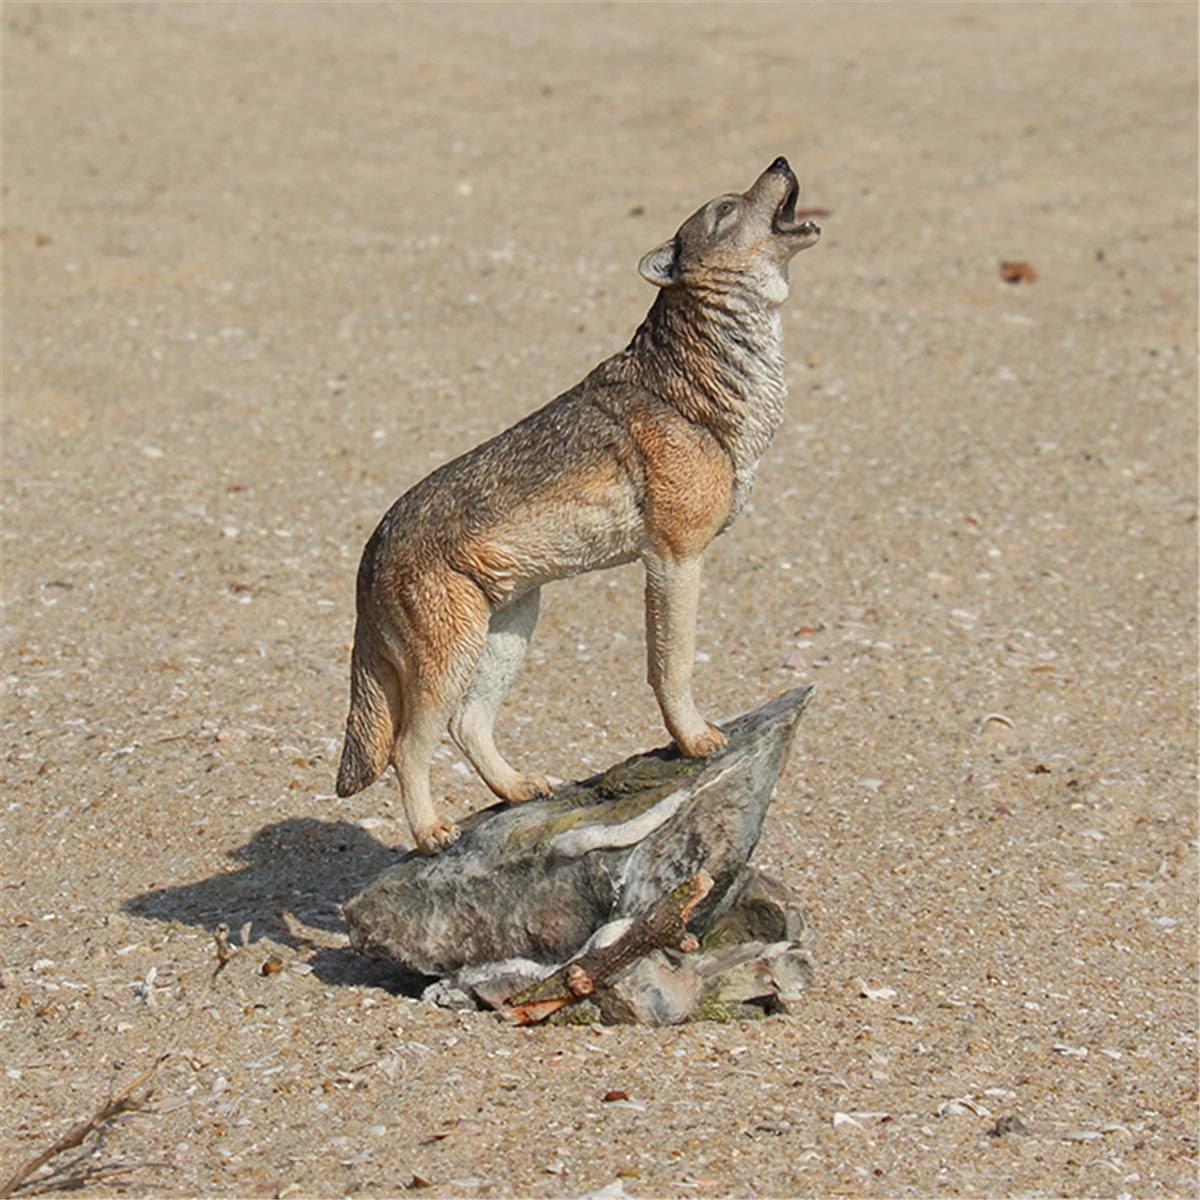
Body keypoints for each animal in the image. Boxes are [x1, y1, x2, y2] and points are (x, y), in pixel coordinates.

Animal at [335, 156, 820, 854]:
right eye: (725, 208)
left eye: (740, 195)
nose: (780, 161)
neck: (696, 387)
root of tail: (370, 548)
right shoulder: (674, 560)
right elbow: (671, 666)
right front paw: (694, 740)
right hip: (449, 661)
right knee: (409, 745)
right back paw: (431, 833)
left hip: (508, 636)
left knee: (468, 726)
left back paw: (517, 791)